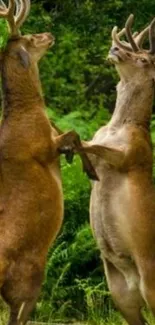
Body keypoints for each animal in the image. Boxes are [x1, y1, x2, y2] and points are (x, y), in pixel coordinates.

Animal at [0, 0, 98, 324]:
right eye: (30, 38)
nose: (50, 34)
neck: (28, 111)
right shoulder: (44, 146)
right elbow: (75, 135)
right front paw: (91, 171)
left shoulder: (52, 135)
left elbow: (74, 136)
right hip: (28, 278)